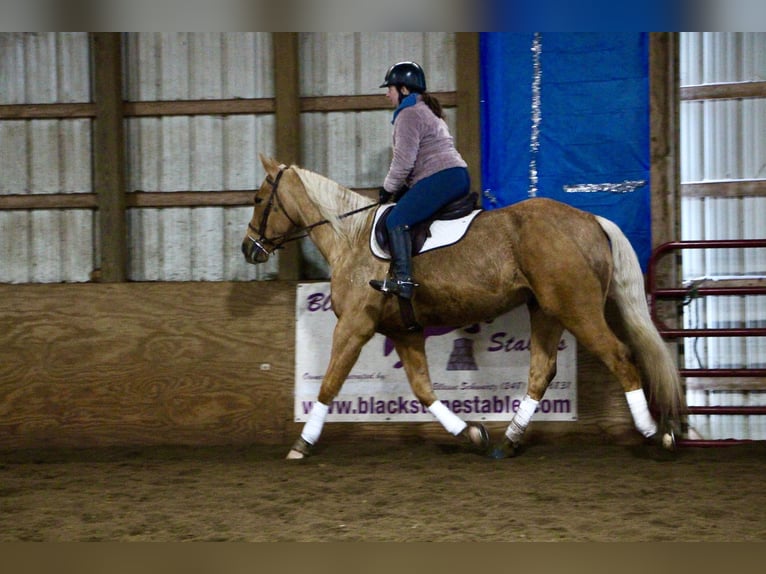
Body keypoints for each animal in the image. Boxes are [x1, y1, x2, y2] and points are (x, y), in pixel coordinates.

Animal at [240, 155, 684, 462]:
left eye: (260, 199)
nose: (248, 249)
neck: (350, 237)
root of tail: (591, 219)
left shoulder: (354, 326)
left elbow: (329, 384)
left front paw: (302, 443)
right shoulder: (404, 332)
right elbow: (423, 390)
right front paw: (471, 433)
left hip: (577, 308)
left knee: (620, 357)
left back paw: (655, 433)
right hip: (546, 310)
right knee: (541, 372)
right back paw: (507, 441)